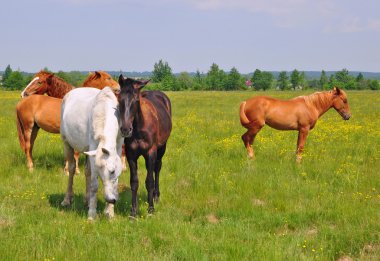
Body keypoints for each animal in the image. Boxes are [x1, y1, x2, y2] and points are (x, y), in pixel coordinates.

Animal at [60, 87, 123, 219]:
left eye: (112, 171)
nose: (111, 200)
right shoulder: (94, 147)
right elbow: (94, 184)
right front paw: (92, 215)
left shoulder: (118, 146)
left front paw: (110, 212)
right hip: (66, 143)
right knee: (72, 169)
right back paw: (67, 200)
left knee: (87, 172)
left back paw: (87, 200)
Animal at [119, 74, 172, 215]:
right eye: (120, 98)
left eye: (136, 100)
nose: (125, 129)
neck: (139, 129)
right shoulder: (131, 155)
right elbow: (134, 182)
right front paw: (133, 211)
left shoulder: (151, 152)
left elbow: (149, 181)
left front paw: (151, 209)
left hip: (162, 147)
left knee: (157, 168)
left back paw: (156, 196)